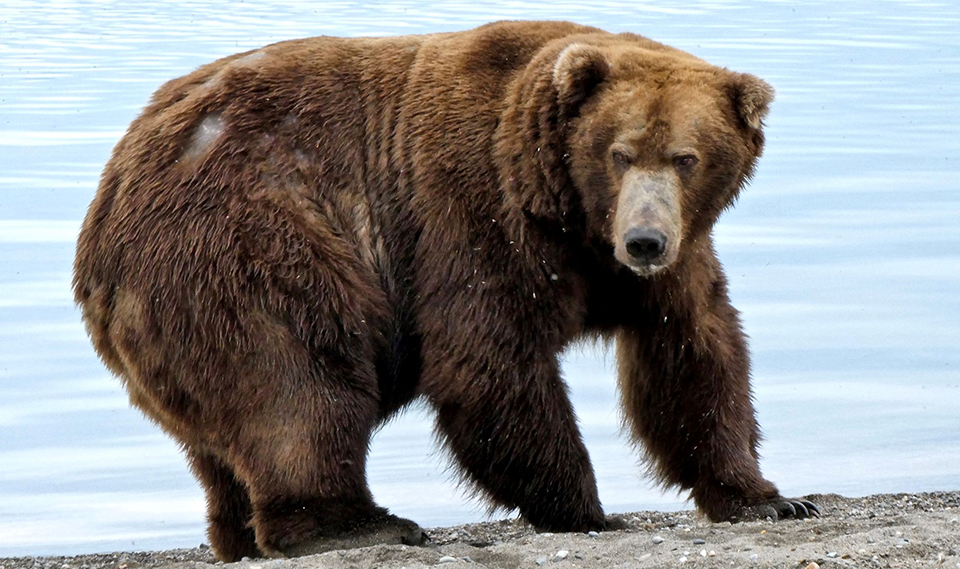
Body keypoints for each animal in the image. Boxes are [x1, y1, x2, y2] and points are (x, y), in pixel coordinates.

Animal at [73, 20, 818, 562]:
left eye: (687, 157)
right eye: (621, 152)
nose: (644, 240)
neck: (569, 215)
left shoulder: (672, 257)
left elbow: (693, 354)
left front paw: (767, 496)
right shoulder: (472, 209)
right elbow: (487, 359)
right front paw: (587, 509)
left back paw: (241, 536)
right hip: (246, 240)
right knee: (299, 381)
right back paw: (361, 524)